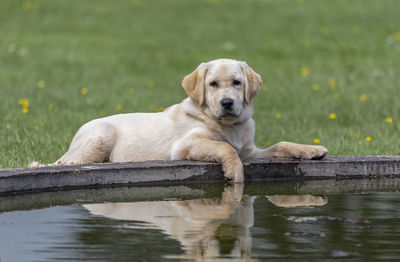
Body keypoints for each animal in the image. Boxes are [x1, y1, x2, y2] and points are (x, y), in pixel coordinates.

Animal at [31, 59, 328, 182]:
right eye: (213, 84)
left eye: (236, 83)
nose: (227, 103)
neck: (229, 126)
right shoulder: (186, 146)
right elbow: (225, 148)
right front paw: (235, 173)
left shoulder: (251, 151)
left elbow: (281, 144)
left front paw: (312, 149)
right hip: (99, 140)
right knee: (67, 164)